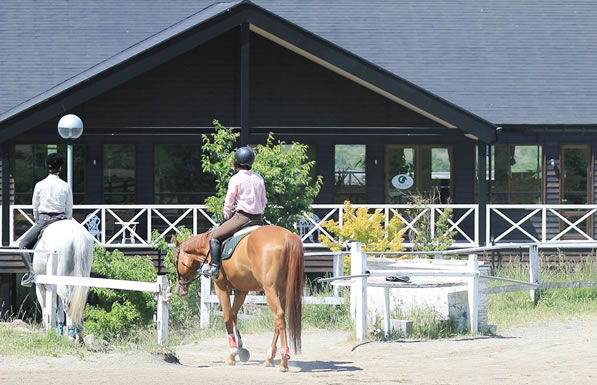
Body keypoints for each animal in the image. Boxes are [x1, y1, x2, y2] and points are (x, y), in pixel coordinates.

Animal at [171, 224, 302, 370]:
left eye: (175, 261)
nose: (179, 289)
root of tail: (288, 236)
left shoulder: (221, 288)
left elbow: (227, 317)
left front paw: (232, 353)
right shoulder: (241, 290)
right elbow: (233, 315)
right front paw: (241, 349)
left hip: (270, 289)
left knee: (279, 315)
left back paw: (284, 359)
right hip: (283, 289)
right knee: (279, 320)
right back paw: (269, 357)